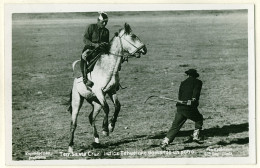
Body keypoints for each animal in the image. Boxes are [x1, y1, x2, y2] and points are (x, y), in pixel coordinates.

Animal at [68, 23, 147, 153]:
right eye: (133, 36)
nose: (144, 49)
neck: (108, 67)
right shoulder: (99, 92)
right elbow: (107, 107)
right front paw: (105, 129)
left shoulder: (111, 91)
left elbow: (117, 106)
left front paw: (111, 125)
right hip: (77, 101)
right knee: (73, 123)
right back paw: (70, 147)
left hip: (95, 102)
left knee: (91, 117)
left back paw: (96, 140)